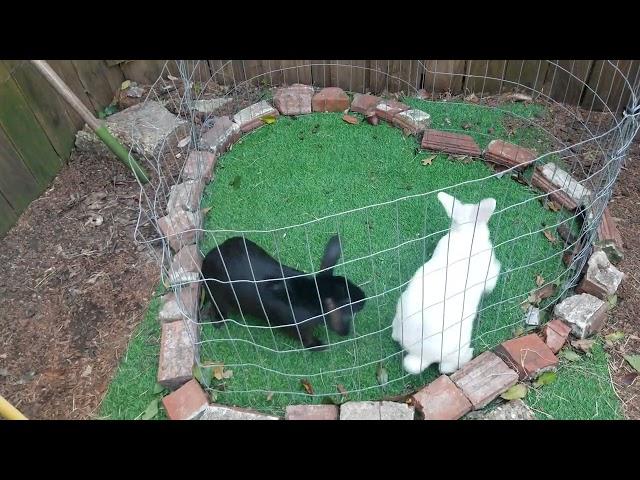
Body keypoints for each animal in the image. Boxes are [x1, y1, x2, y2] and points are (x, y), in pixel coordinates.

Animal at [202, 235, 368, 350]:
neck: (311, 295)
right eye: (347, 301)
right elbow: (306, 341)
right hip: (218, 299)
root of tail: (206, 261)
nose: (364, 299)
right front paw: (320, 346)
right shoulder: (298, 330)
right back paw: (219, 323)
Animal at [392, 191, 502, 376]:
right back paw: (469, 354)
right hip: (457, 348)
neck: (466, 233)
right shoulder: (489, 273)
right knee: (446, 367)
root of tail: (421, 354)